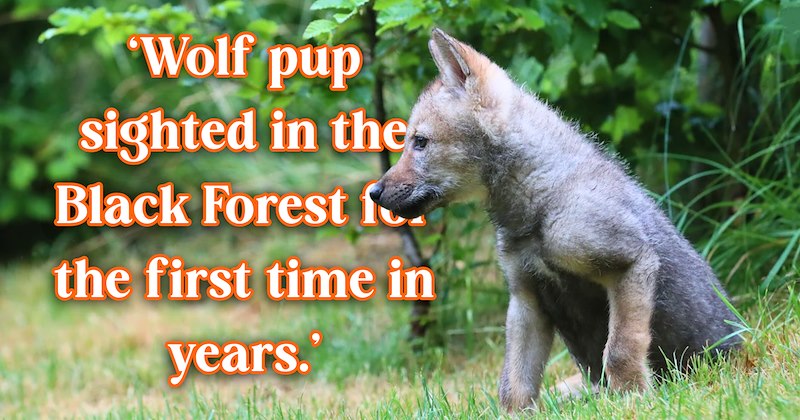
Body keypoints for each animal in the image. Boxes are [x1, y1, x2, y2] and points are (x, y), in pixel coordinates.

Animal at [370, 29, 742, 410]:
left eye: (420, 142)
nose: (374, 193)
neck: (538, 207)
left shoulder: (631, 263)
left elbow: (619, 350)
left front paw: (633, 400)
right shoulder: (526, 300)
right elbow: (514, 384)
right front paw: (513, 416)